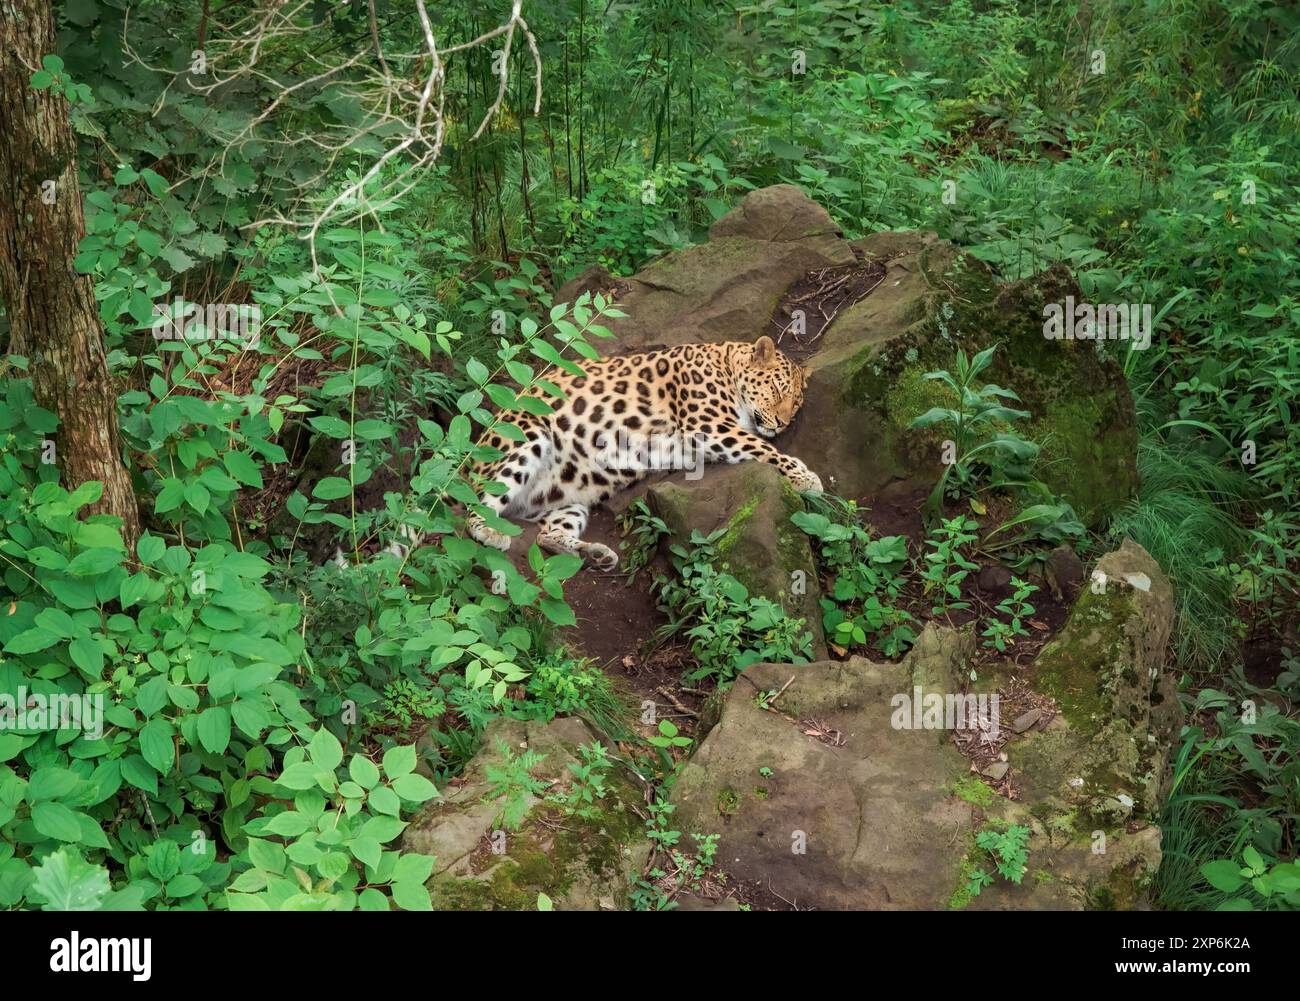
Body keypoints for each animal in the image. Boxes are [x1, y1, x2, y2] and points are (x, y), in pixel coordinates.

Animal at [467, 335, 822, 571]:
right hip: (526, 437)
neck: (725, 365)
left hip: (567, 501)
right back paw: (490, 531)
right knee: (475, 508)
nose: (783, 422)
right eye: (776, 389)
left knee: (547, 536)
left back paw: (593, 554)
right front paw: (806, 478)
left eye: (796, 403)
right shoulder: (708, 424)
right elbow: (761, 447)